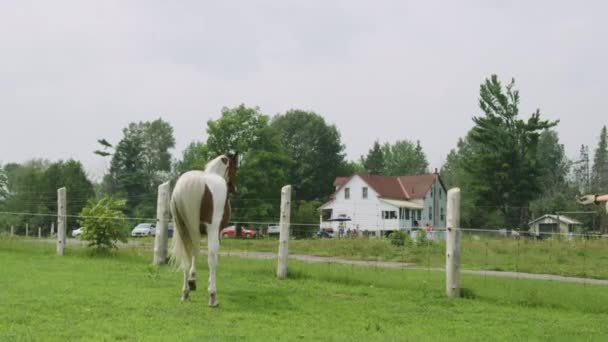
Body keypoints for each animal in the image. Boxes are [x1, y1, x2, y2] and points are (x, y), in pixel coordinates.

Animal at [171, 153, 240, 308]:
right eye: (236, 168)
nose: (234, 189)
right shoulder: (216, 231)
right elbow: (213, 257)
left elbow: (194, 254)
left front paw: (192, 281)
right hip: (211, 229)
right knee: (211, 257)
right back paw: (213, 297)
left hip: (183, 228)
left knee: (187, 254)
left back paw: (185, 292)